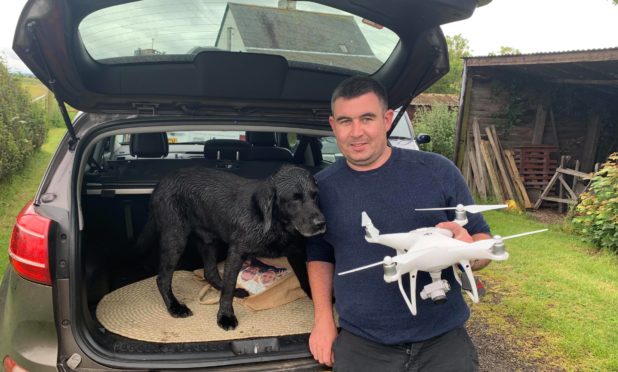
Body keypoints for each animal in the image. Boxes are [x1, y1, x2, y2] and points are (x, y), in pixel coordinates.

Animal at [137, 164, 324, 330]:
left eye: (315, 196)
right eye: (295, 198)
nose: (321, 223)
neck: (276, 224)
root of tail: (160, 184)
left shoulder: (296, 253)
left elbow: (306, 279)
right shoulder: (236, 253)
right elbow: (228, 288)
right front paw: (225, 316)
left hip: (208, 241)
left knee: (210, 273)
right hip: (176, 237)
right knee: (163, 278)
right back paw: (175, 307)